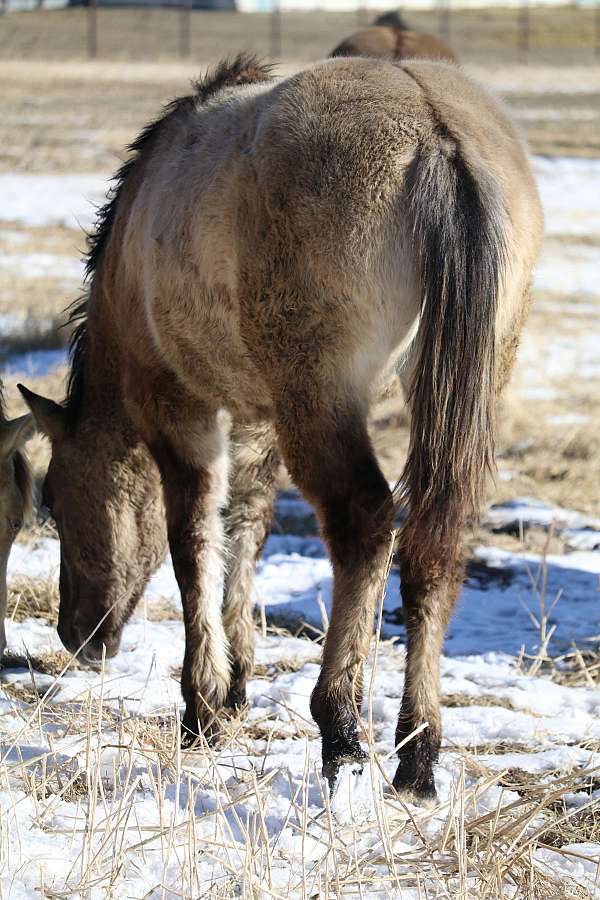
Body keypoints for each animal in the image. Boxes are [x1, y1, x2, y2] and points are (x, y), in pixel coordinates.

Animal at [21, 54, 540, 800]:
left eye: (56, 502)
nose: (77, 637)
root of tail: (437, 136)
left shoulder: (178, 407)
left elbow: (194, 539)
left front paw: (204, 704)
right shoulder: (257, 418)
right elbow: (246, 527)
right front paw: (235, 683)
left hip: (319, 396)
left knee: (364, 523)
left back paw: (342, 731)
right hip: (462, 389)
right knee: (436, 544)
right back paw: (417, 756)